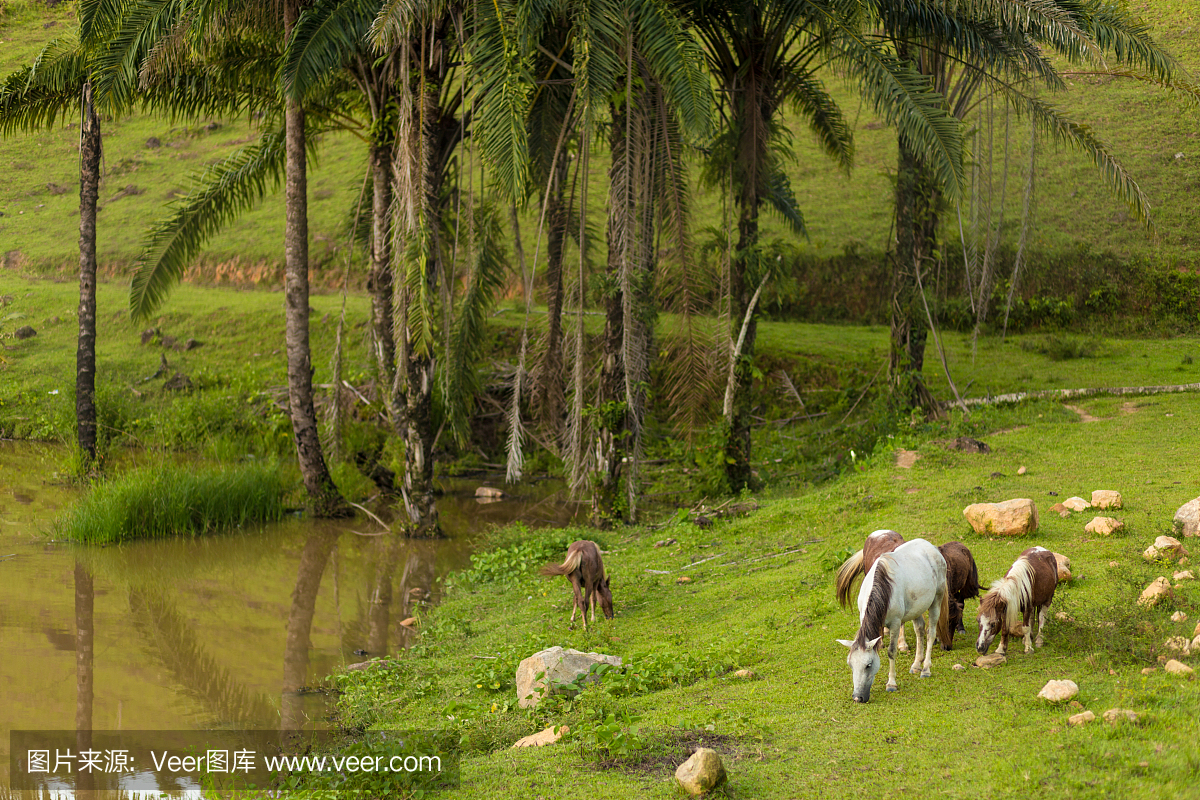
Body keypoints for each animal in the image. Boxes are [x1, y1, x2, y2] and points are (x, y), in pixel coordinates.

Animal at [840, 542, 950, 705]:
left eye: (868, 665)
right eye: (850, 664)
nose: (857, 697)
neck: (883, 589)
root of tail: (932, 547)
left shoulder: (895, 624)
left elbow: (891, 651)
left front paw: (891, 683)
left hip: (936, 600)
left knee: (931, 633)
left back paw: (925, 669)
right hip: (917, 608)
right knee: (919, 629)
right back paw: (916, 665)